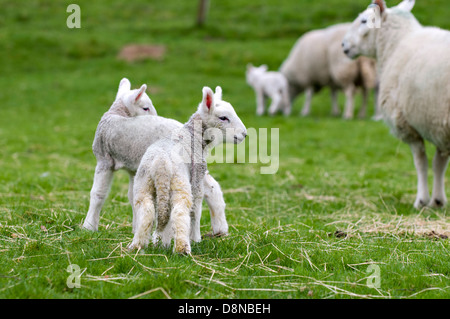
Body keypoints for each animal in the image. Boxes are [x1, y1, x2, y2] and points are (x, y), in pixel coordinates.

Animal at [81, 77, 229, 238]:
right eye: (146, 108)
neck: (117, 114)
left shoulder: (104, 160)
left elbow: (97, 194)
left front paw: (88, 226)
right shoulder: (133, 167)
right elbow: (133, 196)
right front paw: (136, 227)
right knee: (212, 188)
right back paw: (220, 229)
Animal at [128, 85, 248, 255]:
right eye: (223, 118)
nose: (244, 134)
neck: (194, 135)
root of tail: (161, 163)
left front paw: (162, 242)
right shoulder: (197, 177)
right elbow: (196, 210)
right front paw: (196, 239)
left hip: (143, 183)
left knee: (147, 211)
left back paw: (137, 246)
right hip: (180, 182)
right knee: (179, 211)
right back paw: (182, 248)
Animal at [342, 0, 450, 210]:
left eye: (364, 20)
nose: (343, 44)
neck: (395, 45)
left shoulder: (406, 124)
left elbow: (422, 163)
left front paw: (421, 201)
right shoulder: (438, 125)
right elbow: (439, 164)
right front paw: (438, 201)